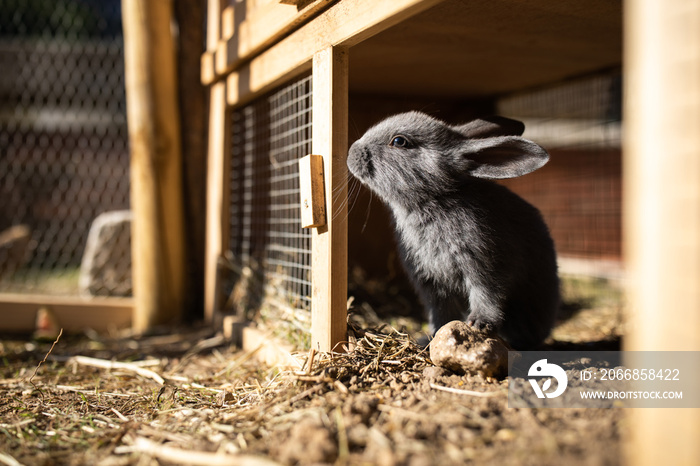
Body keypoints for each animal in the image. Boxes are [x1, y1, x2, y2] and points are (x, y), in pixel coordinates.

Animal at [348, 111, 560, 348]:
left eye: (400, 141)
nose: (351, 152)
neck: (433, 200)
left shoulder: (485, 268)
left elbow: (487, 297)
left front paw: (479, 324)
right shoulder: (432, 285)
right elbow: (441, 314)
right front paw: (432, 337)